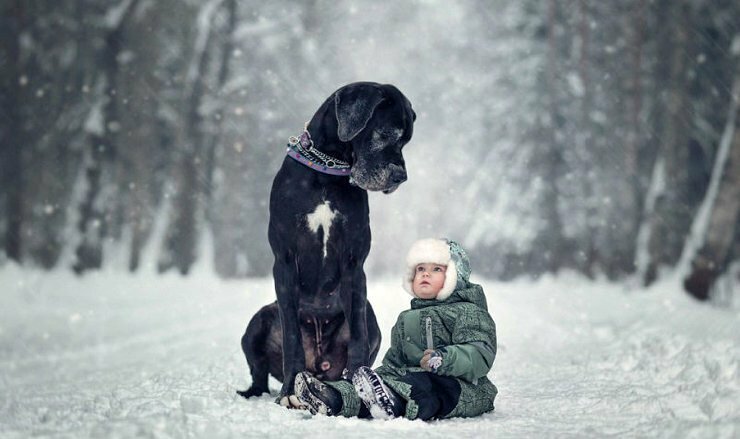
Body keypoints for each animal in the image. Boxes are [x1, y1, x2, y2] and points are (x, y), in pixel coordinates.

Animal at [240, 81, 420, 408]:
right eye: (385, 134)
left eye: (406, 141)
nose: (400, 176)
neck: (327, 170)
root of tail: (319, 365)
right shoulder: (284, 261)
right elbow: (292, 338)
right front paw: (290, 389)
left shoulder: (353, 264)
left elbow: (359, 336)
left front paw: (358, 384)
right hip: (257, 322)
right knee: (259, 375)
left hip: (371, 317)